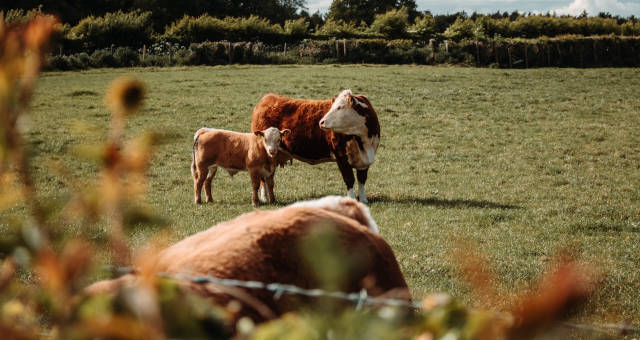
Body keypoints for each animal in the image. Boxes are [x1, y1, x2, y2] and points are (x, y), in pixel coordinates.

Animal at [250, 89, 380, 203]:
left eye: (339, 107)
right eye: (332, 107)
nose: (321, 122)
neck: (363, 141)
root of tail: (267, 98)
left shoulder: (365, 160)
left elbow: (362, 180)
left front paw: (363, 199)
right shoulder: (341, 157)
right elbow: (349, 179)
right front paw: (352, 199)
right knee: (263, 178)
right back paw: (264, 198)